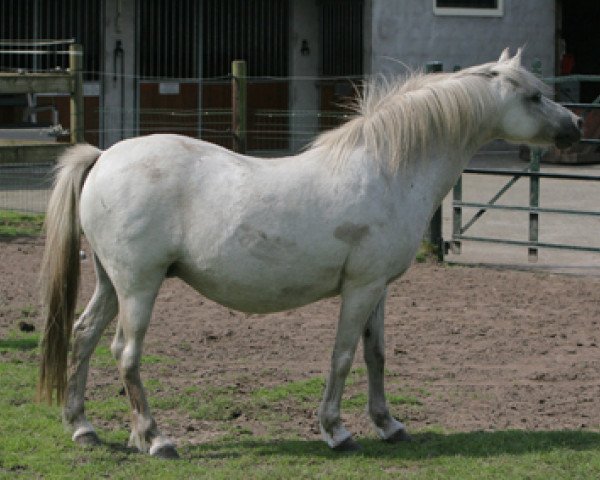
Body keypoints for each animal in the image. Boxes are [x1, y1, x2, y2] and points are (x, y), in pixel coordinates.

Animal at [38, 50, 580, 460]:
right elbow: (342, 356)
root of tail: (103, 157)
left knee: (83, 337)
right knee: (125, 354)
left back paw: (83, 428)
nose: (575, 125)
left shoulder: (378, 289)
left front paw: (389, 425)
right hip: (139, 286)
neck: (387, 168)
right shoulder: (360, 289)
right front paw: (336, 431)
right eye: (533, 96)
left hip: (111, 284)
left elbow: (376, 354)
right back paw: (155, 439)